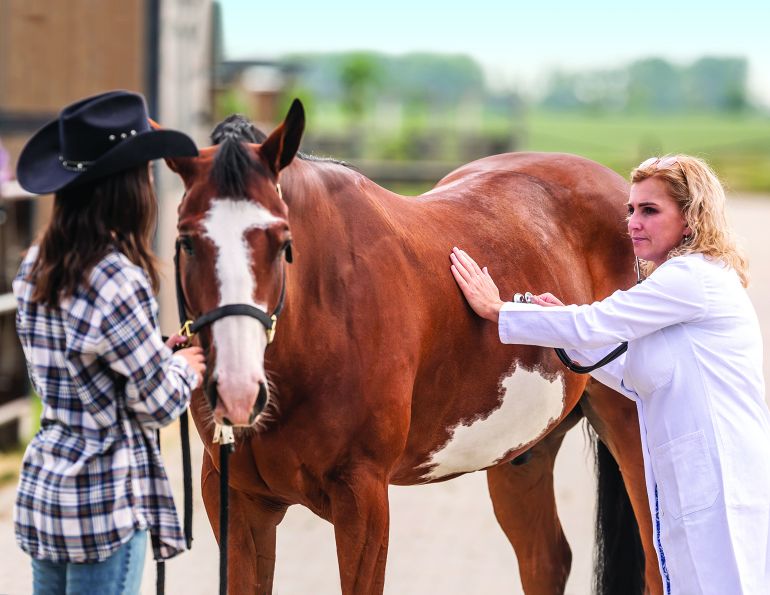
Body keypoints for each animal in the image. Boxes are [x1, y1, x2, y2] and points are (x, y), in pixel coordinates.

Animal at [164, 100, 662, 594]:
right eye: (185, 241)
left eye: (283, 241)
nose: (237, 390)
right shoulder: (236, 501)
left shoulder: (363, 501)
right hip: (523, 454)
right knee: (547, 561)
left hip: (632, 438)